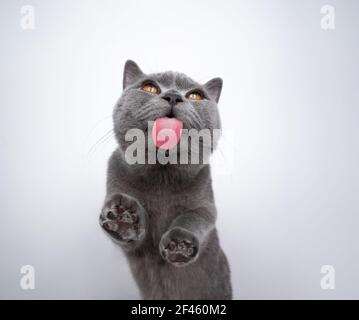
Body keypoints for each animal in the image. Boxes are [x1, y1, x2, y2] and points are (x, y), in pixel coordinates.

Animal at [99, 60, 233, 300]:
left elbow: (193, 218)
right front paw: (123, 218)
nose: (172, 96)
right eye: (149, 87)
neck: (161, 176)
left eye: (196, 95)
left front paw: (180, 244)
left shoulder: (205, 207)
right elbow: (129, 235)